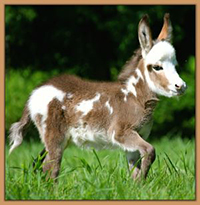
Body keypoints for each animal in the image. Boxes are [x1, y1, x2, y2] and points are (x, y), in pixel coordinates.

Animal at [9, 14, 188, 181]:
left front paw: (138, 187)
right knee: (50, 168)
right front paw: (143, 183)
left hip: (61, 138)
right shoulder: (121, 133)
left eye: (175, 65)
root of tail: (35, 92)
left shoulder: (135, 140)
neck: (134, 97)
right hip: (54, 134)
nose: (181, 86)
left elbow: (135, 168)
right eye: (157, 67)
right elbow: (150, 151)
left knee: (39, 162)